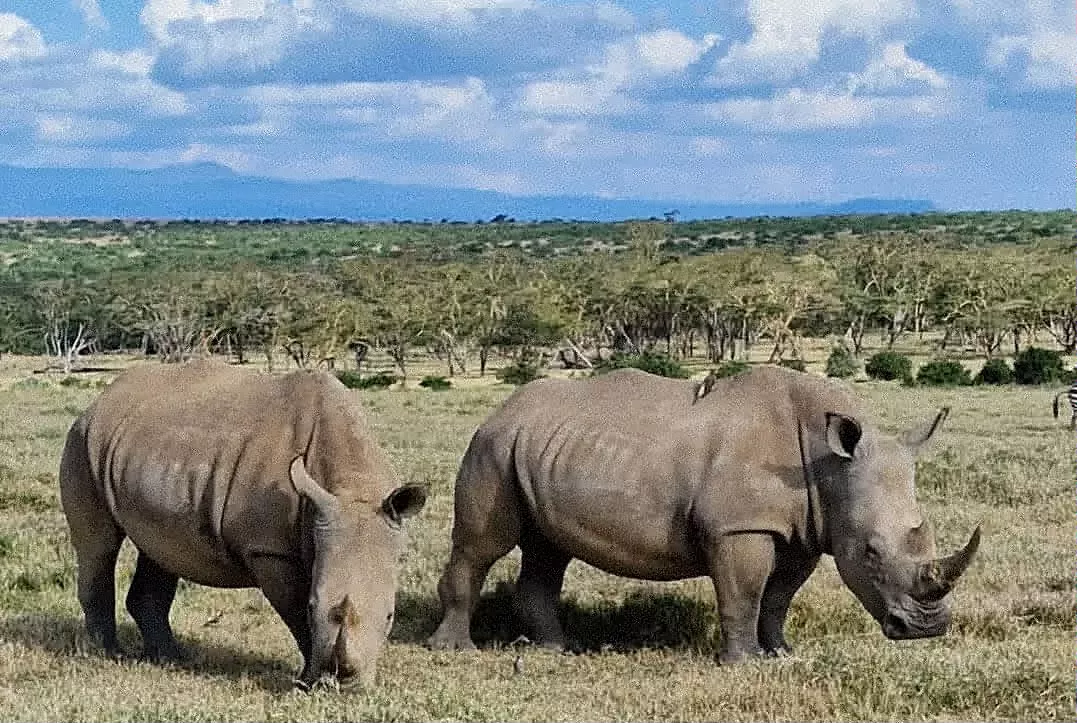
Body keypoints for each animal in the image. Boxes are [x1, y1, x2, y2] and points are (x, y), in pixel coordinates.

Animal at [59, 360, 427, 689]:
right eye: (313, 608)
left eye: (391, 617)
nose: (342, 684)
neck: (353, 488)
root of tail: (98, 402)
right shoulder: (268, 549)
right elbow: (295, 613)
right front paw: (305, 680)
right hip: (83, 443)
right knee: (99, 547)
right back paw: (109, 654)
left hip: (147, 455)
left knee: (160, 550)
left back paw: (171, 658)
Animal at [427, 366, 980, 662]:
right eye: (870, 552)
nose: (926, 628)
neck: (827, 466)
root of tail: (499, 411)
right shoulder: (740, 526)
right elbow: (745, 593)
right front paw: (744, 662)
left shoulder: (805, 529)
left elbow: (777, 598)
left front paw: (782, 652)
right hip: (493, 447)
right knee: (482, 546)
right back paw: (455, 651)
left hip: (538, 448)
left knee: (547, 550)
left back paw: (557, 649)